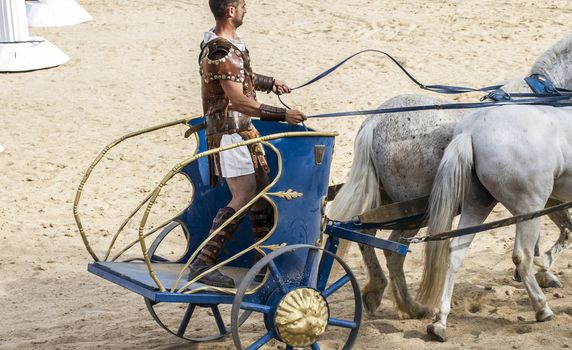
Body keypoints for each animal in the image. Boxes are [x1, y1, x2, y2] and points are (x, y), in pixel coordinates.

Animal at [326, 32, 572, 318]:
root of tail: (374, 122)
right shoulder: (545, 195)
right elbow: (565, 230)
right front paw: (542, 272)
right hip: (415, 213)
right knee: (393, 252)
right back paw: (412, 306)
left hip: (386, 202)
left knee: (366, 239)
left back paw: (377, 292)